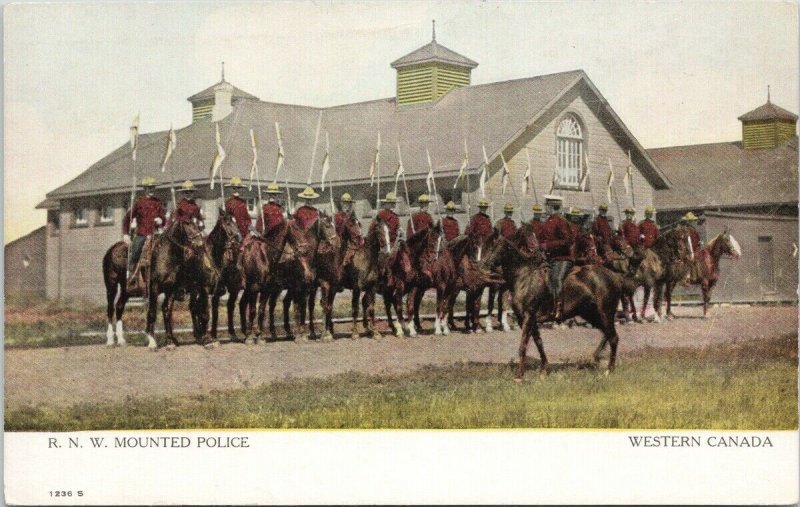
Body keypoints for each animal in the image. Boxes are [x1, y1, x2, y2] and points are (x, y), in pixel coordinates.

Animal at [145, 218, 220, 350]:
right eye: (189, 226)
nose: (199, 241)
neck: (166, 260)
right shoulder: (154, 287)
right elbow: (152, 312)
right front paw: (152, 342)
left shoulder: (171, 290)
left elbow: (167, 311)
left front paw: (169, 341)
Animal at [206, 208, 244, 344]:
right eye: (227, 223)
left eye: (236, 222)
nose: (239, 237)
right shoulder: (214, 292)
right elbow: (214, 311)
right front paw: (213, 335)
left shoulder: (232, 289)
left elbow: (229, 308)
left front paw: (232, 334)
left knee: (230, 306)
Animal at [482, 238, 632, 380]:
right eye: (490, 247)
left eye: (497, 248)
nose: (484, 265)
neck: (524, 278)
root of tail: (615, 277)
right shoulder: (529, 320)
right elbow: (538, 343)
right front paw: (543, 369)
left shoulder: (528, 317)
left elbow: (523, 346)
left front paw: (519, 376)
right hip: (591, 315)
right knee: (607, 335)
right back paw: (595, 358)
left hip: (605, 313)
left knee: (613, 337)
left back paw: (609, 370)